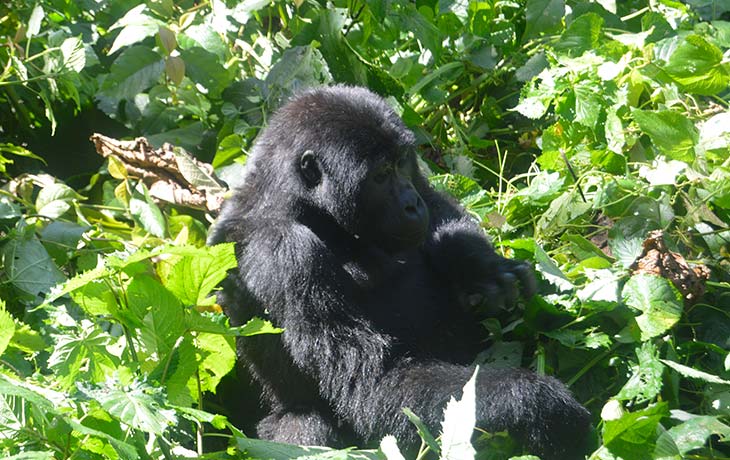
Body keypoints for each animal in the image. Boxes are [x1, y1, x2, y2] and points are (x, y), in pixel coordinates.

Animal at [208, 84, 588, 458]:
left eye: (402, 162)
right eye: (380, 176)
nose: (410, 204)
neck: (303, 202)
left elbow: (438, 209)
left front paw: (480, 267)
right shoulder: (285, 254)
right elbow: (373, 384)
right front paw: (538, 403)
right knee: (307, 428)